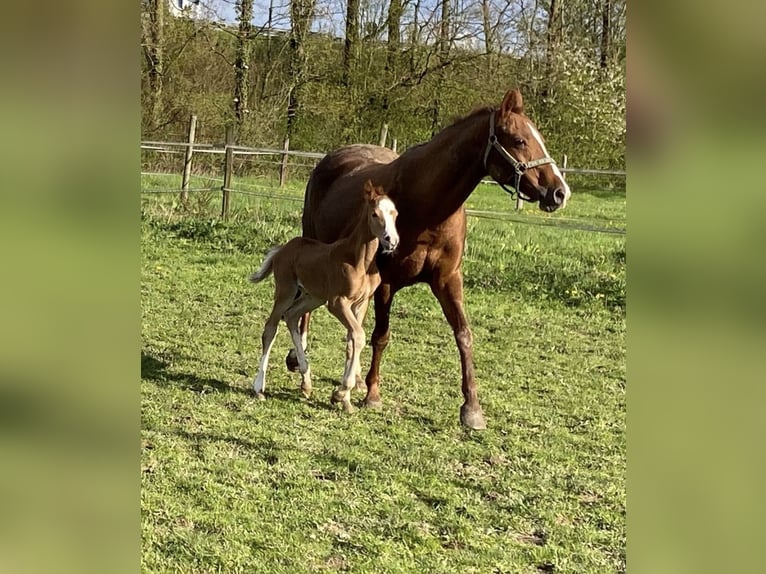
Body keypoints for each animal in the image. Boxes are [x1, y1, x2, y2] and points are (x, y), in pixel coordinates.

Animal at [249, 180, 400, 412]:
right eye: (375, 214)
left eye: (395, 213)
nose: (391, 241)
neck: (359, 261)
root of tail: (282, 249)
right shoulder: (337, 303)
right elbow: (358, 336)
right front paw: (340, 393)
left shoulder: (360, 304)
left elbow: (352, 342)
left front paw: (344, 400)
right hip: (286, 291)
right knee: (270, 328)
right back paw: (259, 388)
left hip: (312, 297)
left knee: (292, 316)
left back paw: (306, 382)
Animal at [289, 88, 571, 429]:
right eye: (518, 140)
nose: (560, 192)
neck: (429, 204)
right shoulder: (388, 282)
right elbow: (381, 336)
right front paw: (373, 394)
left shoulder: (448, 279)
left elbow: (464, 335)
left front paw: (472, 409)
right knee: (307, 310)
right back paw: (302, 367)